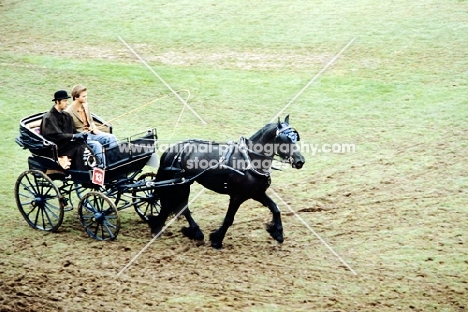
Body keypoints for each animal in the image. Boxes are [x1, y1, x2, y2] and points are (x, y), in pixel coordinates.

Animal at [148, 114, 306, 249]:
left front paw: (277, 233)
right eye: (285, 140)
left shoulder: (257, 193)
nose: (300, 161)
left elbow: (275, 208)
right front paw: (217, 240)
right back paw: (191, 231)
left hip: (180, 184)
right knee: (181, 206)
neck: (250, 160)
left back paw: (161, 227)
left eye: (295, 138)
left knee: (172, 205)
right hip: (182, 185)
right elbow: (229, 218)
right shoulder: (237, 196)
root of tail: (171, 149)